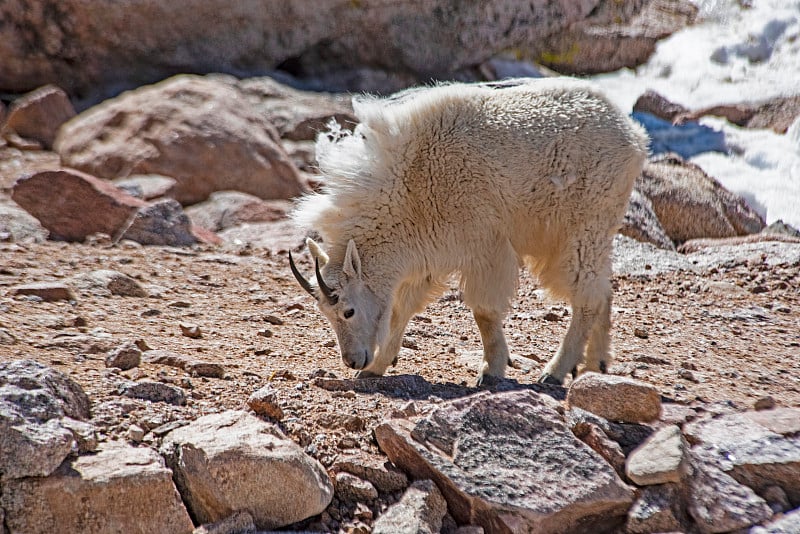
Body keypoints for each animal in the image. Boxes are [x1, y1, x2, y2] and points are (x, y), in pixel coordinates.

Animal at [290, 78, 648, 386]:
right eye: (324, 313)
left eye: (348, 311)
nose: (352, 360)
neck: (410, 186)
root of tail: (633, 134)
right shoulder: (425, 253)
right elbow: (400, 311)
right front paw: (376, 368)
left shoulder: (483, 246)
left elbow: (484, 312)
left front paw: (492, 371)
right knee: (602, 288)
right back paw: (594, 365)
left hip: (585, 224)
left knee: (587, 295)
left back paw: (556, 371)